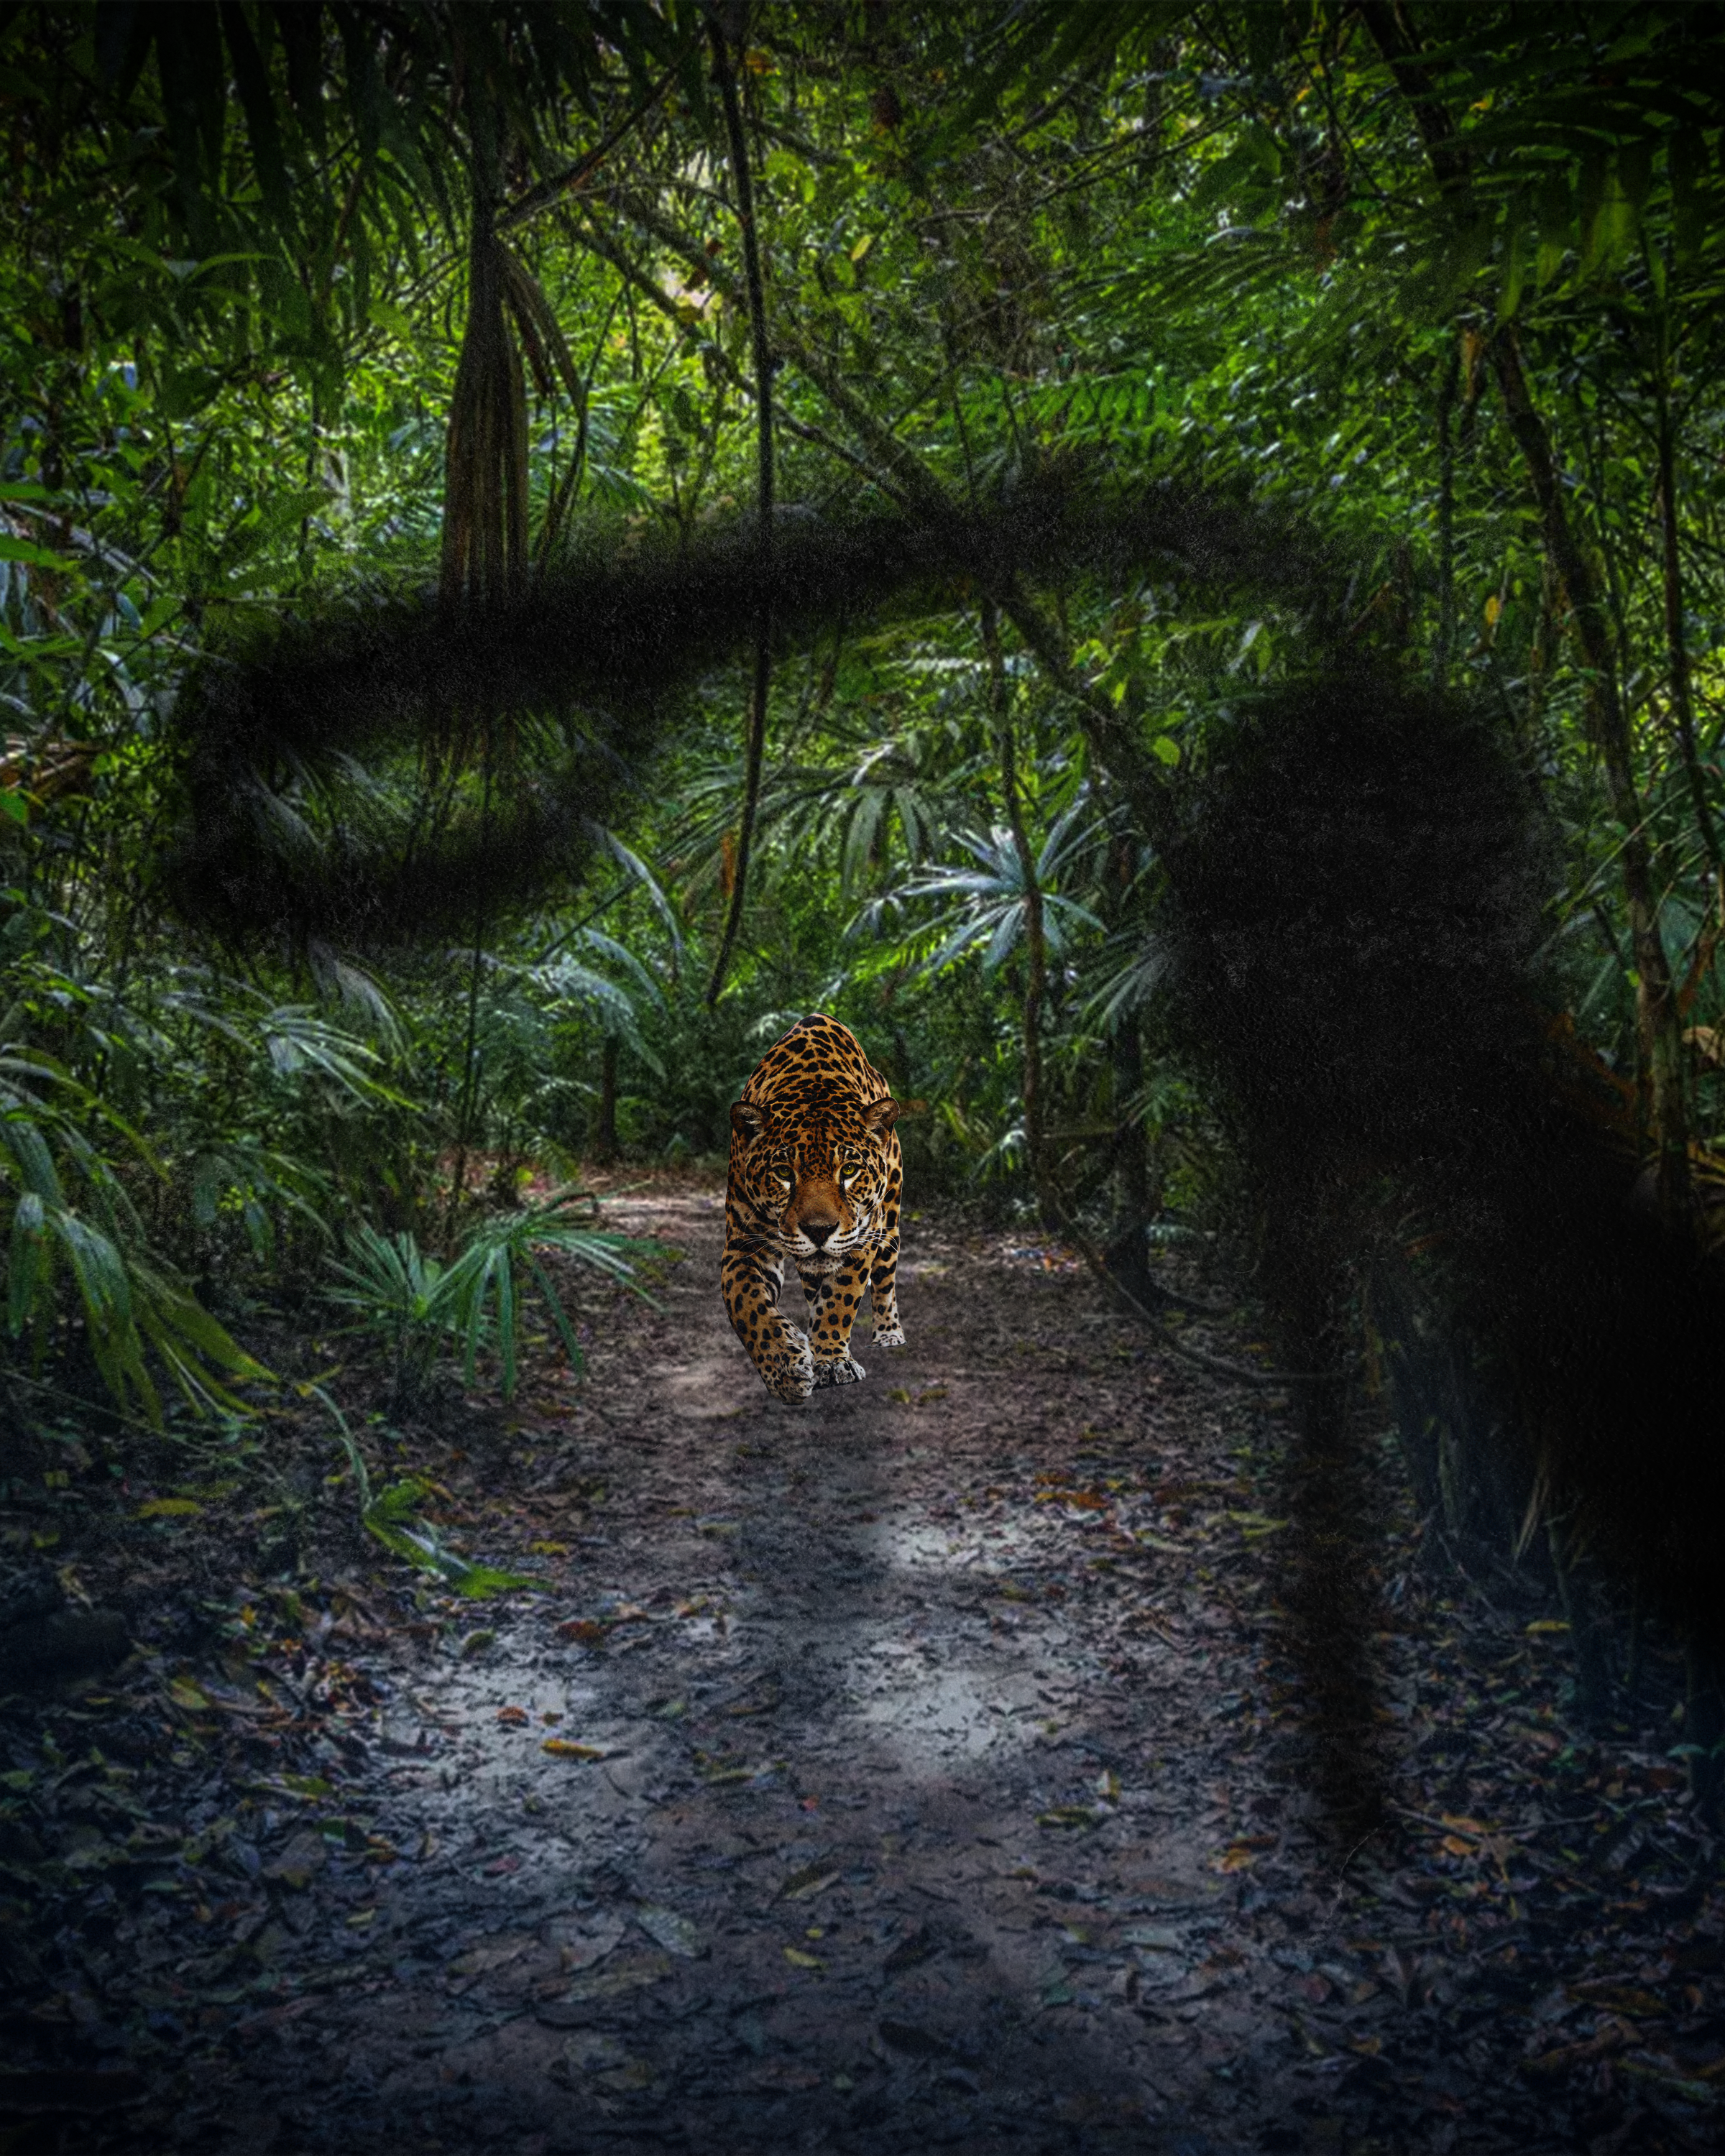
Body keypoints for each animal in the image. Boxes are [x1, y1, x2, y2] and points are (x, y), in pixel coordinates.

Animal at [722, 1013, 919, 1403]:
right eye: (784, 1173)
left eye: (850, 1170)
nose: (819, 1231)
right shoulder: (743, 1245)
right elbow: (748, 1307)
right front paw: (784, 1367)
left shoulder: (861, 1240)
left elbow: (841, 1298)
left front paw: (830, 1361)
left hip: (889, 1224)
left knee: (884, 1280)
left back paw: (888, 1332)